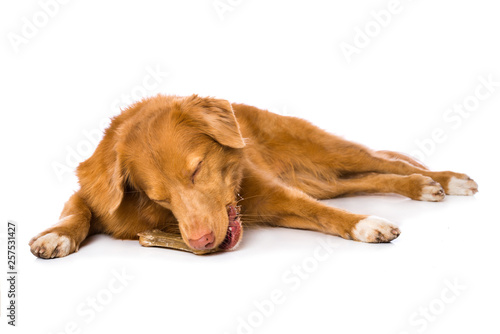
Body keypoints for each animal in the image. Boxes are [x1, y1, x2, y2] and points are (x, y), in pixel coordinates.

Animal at [29, 94, 478, 258]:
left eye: (197, 169)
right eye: (156, 196)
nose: (200, 243)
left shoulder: (277, 196)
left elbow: (324, 215)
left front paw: (366, 224)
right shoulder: (91, 194)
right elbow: (77, 211)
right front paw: (56, 235)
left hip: (323, 149)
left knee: (388, 160)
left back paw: (444, 179)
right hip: (325, 181)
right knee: (371, 178)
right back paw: (422, 185)